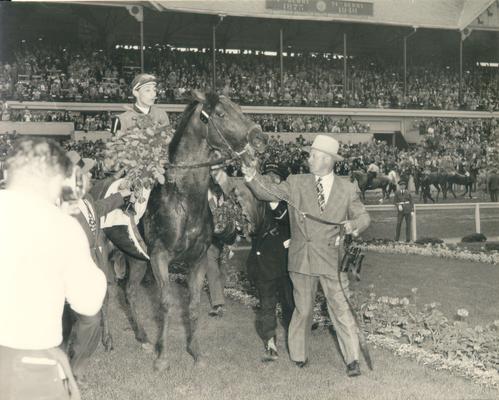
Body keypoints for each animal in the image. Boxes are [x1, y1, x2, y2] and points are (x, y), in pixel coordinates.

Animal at [105, 90, 266, 368]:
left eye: (239, 108)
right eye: (221, 114)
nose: (260, 139)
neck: (182, 199)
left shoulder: (197, 259)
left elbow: (193, 304)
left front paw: (195, 353)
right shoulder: (159, 258)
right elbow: (166, 303)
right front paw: (162, 357)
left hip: (135, 258)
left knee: (130, 292)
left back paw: (143, 338)